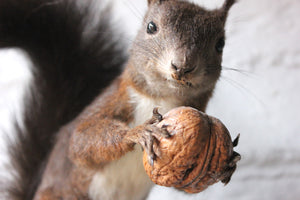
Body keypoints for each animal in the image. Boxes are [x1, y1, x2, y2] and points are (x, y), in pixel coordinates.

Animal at [0, 0, 237, 200]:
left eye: (220, 44)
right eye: (151, 27)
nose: (182, 66)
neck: (163, 97)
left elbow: (185, 183)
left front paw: (226, 164)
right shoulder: (114, 99)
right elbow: (80, 140)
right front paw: (137, 132)